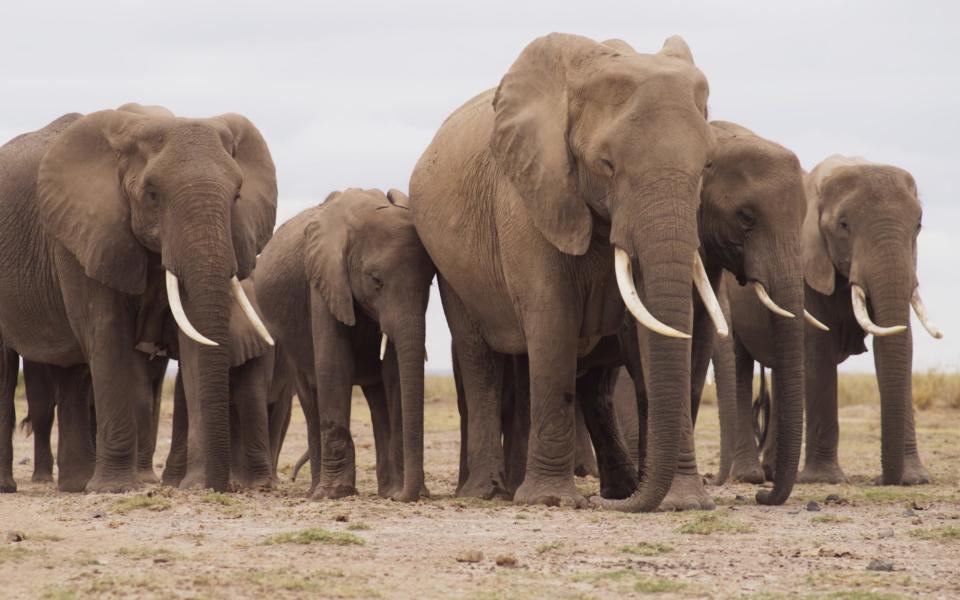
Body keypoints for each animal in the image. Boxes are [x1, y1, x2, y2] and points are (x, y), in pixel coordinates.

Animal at [0, 103, 278, 492]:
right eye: (152, 194)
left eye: (237, 194)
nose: (222, 486)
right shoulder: (80, 235)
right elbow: (107, 333)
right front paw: (116, 488)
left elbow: (192, 340)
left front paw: (196, 485)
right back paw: (14, 486)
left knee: (72, 376)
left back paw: (75, 485)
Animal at [255, 188, 436, 502]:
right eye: (376, 280)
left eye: (430, 283)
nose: (405, 497)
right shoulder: (323, 279)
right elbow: (334, 364)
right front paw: (335, 494)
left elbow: (394, 372)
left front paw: (396, 492)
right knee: (310, 394)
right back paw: (316, 491)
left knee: (378, 398)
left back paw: (385, 488)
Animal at [406, 34, 728, 510]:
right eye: (607, 164)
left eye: (707, 166)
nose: (616, 508)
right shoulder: (528, 194)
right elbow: (552, 316)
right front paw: (551, 501)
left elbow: (647, 331)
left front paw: (684, 502)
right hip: (449, 261)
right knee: (479, 358)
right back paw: (489, 492)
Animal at [720, 156, 936, 488]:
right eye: (843, 225)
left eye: (919, 225)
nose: (883, 480)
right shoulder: (807, 266)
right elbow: (819, 351)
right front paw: (825, 479)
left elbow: (898, 341)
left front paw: (915, 480)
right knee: (739, 366)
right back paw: (750, 476)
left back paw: (773, 472)